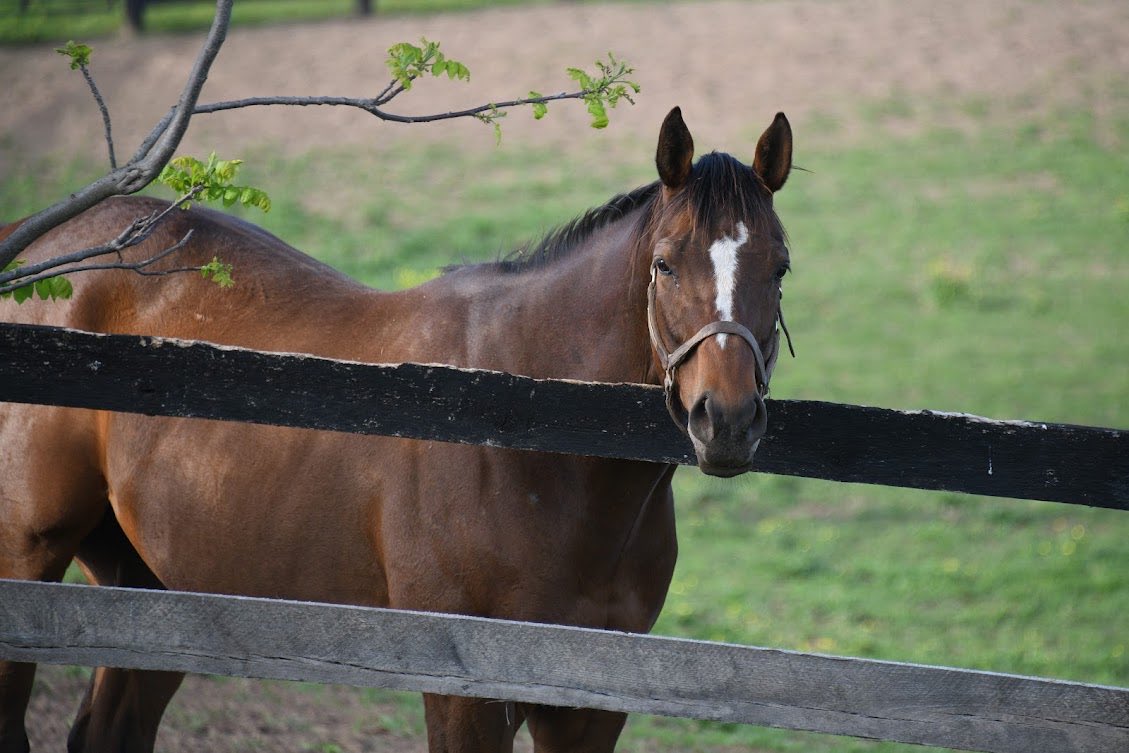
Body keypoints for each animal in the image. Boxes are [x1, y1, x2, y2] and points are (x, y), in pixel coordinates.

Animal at [0, 107, 794, 753]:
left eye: (779, 267)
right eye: (664, 265)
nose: (725, 420)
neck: (529, 432)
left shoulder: (592, 705)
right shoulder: (464, 689)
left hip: (156, 586)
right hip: (29, 562)